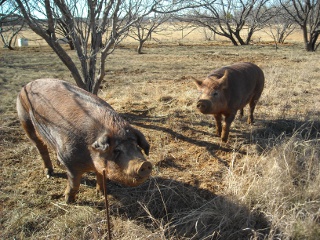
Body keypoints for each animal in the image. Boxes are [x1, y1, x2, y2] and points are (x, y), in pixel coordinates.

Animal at [16, 79, 152, 202]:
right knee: (41, 147)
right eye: (116, 150)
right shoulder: (70, 162)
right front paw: (68, 201)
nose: (145, 164)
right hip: (25, 120)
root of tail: (27, 85)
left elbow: (101, 177)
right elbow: (74, 183)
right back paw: (49, 173)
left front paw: (101, 194)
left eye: (136, 146)